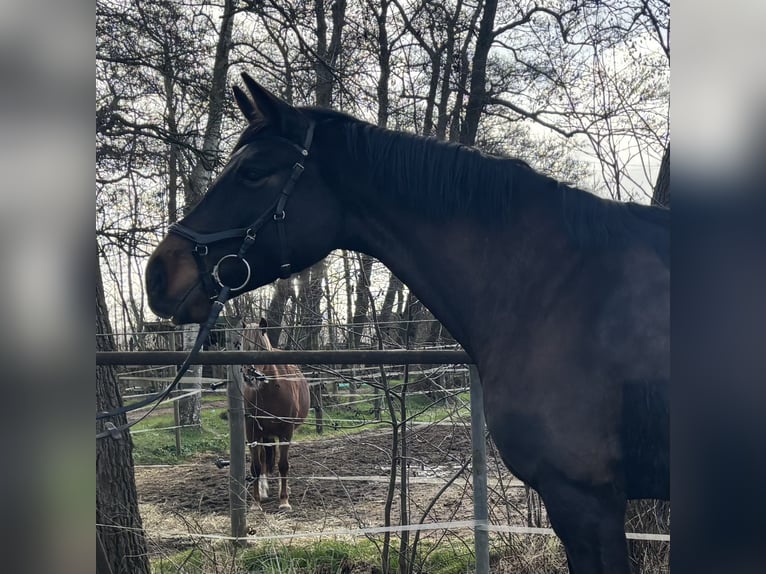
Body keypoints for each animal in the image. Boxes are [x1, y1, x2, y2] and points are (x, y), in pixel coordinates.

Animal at [241, 317, 309, 510]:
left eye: (261, 349)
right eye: (242, 347)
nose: (250, 377)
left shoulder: (286, 431)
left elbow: (283, 465)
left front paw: (284, 501)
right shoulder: (252, 432)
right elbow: (256, 467)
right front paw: (256, 503)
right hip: (265, 435)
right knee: (264, 460)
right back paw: (263, 491)